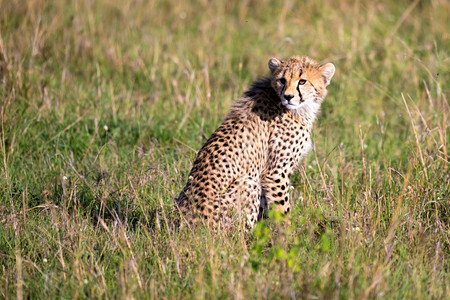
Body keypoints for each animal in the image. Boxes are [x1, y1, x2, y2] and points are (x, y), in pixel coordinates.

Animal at [176, 55, 334, 230]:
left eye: (302, 81)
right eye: (282, 80)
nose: (288, 96)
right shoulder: (275, 173)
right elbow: (283, 210)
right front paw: (289, 233)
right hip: (248, 182)